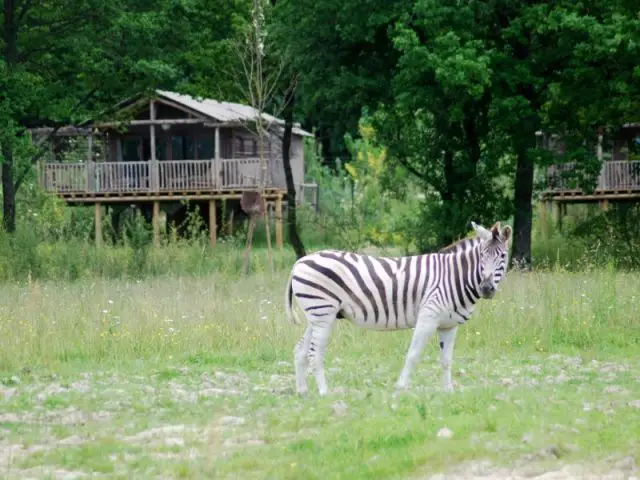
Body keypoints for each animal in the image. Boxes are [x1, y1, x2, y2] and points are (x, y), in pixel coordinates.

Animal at [284, 219, 510, 396]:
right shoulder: (428, 316)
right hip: (323, 313)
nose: (486, 288)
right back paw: (324, 393)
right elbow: (413, 355)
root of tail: (299, 262)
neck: (454, 277)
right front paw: (400, 389)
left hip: (319, 315)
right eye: (482, 255)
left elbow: (446, 360)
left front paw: (448, 391)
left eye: (502, 257)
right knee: (315, 353)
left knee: (300, 350)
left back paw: (303, 392)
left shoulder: (449, 325)